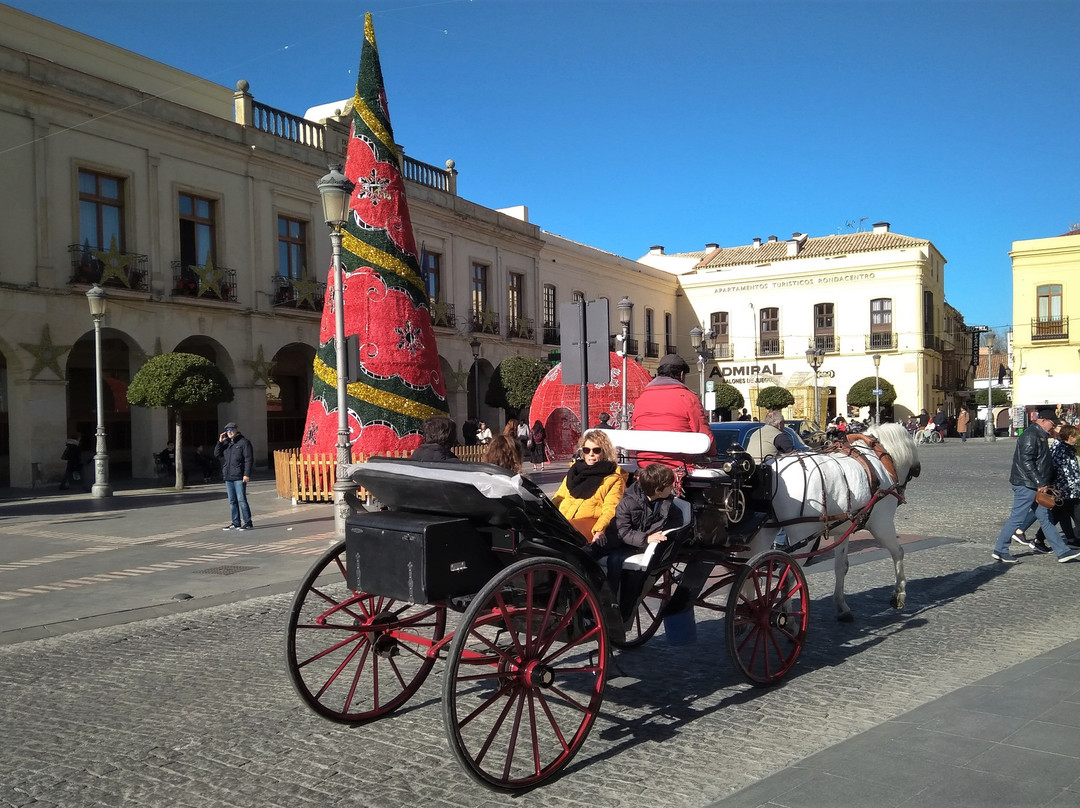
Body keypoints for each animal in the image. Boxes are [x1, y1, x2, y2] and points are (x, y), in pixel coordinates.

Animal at [751, 423, 920, 626]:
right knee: (789, 576)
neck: (878, 460)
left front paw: (841, 606)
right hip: (804, 537)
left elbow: (841, 567)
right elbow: (898, 552)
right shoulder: (882, 524)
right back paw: (788, 621)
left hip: (764, 532)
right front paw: (899, 593)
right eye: (912, 472)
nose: (901, 494)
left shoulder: (843, 531)